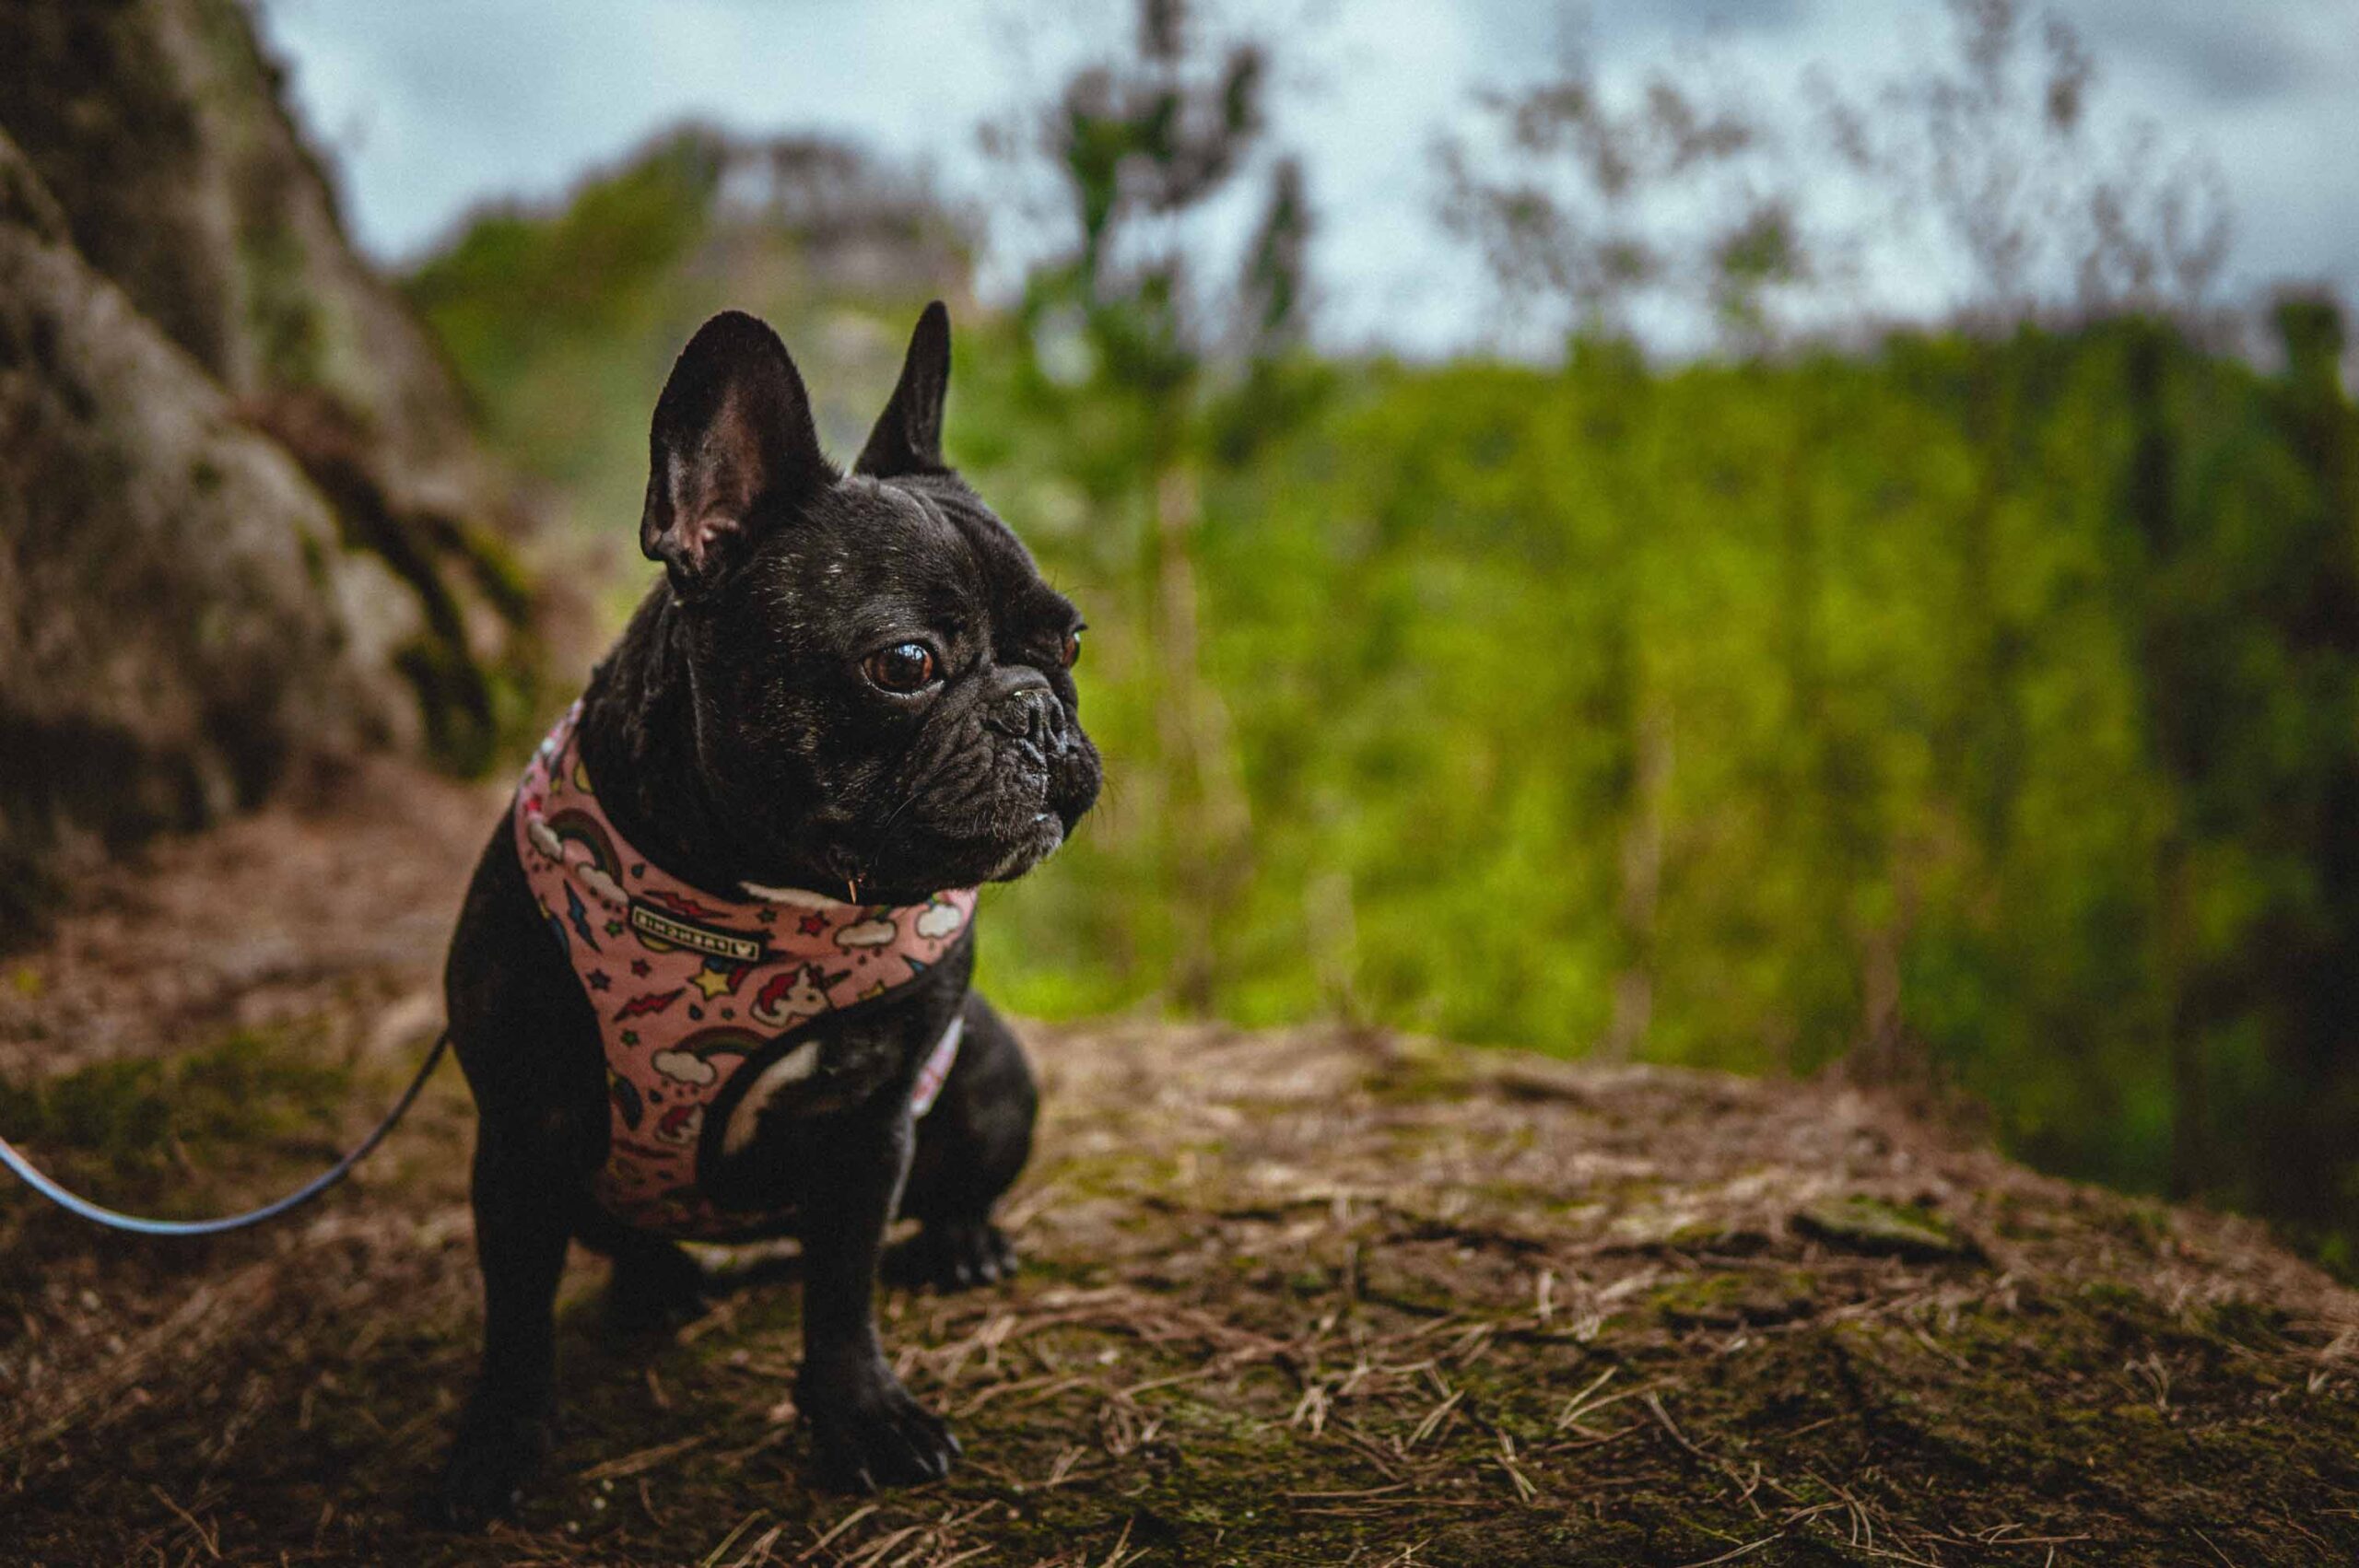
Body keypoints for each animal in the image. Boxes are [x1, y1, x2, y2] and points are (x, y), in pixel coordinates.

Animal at [431, 299, 1094, 1518]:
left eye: (1069, 642)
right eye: (905, 663)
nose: (1036, 710)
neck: (758, 901)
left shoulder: (867, 1130)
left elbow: (841, 1298)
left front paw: (862, 1416)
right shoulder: (522, 1134)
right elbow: (514, 1318)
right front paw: (496, 1444)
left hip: (993, 1072)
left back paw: (963, 1241)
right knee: (628, 1242)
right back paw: (657, 1284)